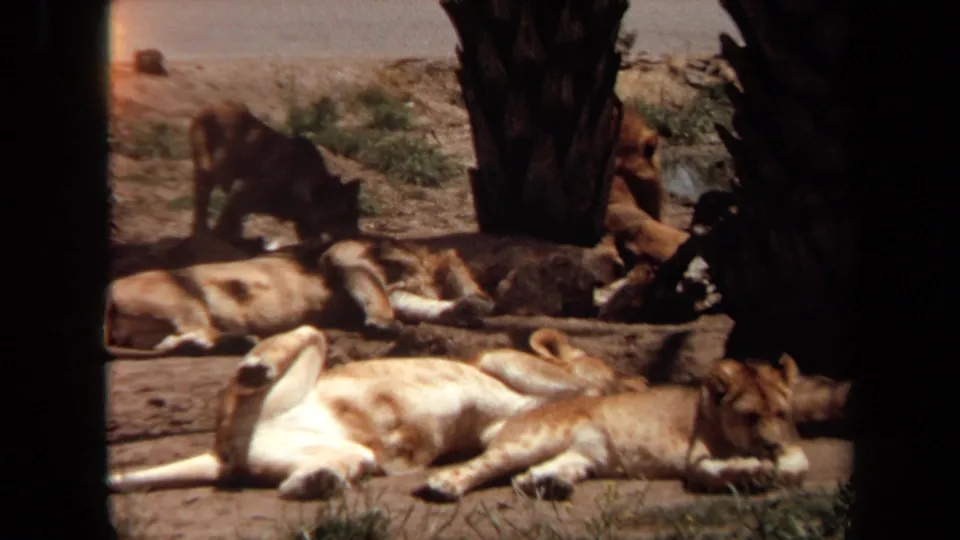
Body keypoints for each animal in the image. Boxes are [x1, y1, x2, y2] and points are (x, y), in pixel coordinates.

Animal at [104, 236, 496, 357]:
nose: (486, 300)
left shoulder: (397, 290)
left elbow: (422, 306)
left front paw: (461, 310)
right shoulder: (346, 256)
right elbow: (377, 297)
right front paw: (385, 325)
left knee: (176, 342)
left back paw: (239, 340)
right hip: (182, 299)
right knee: (195, 335)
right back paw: (242, 340)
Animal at [107, 325, 642, 499]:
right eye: (615, 363)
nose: (638, 383)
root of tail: (222, 452)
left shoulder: (503, 428)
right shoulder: (506, 362)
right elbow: (575, 384)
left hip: (344, 452)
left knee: (315, 472)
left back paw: (318, 483)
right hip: (293, 369)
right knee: (297, 339)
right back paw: (254, 366)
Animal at [189, 100, 361, 241]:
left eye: (356, 213)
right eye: (341, 212)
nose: (357, 235)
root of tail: (206, 108)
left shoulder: (304, 224)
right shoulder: (239, 199)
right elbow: (223, 229)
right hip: (205, 174)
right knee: (201, 213)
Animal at [415, 354, 810, 502]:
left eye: (780, 413)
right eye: (749, 416)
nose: (771, 446)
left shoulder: (793, 447)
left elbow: (797, 467)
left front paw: (767, 469)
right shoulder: (695, 459)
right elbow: (713, 470)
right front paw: (750, 471)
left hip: (583, 456)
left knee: (530, 474)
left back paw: (548, 484)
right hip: (532, 440)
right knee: (479, 465)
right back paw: (444, 485)